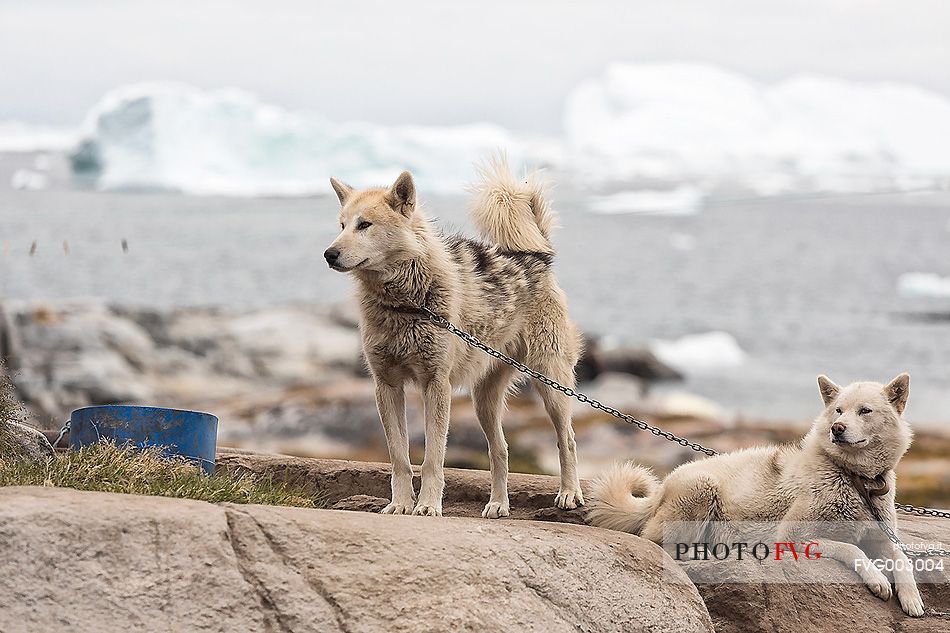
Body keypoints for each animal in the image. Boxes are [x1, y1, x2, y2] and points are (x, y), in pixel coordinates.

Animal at [324, 159, 584, 520]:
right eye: (342, 224)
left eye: (365, 225)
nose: (329, 254)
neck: (407, 302)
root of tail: (538, 256)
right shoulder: (386, 386)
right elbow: (400, 458)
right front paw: (400, 504)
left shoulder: (437, 384)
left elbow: (433, 459)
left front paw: (428, 506)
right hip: (484, 401)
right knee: (500, 450)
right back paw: (498, 504)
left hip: (551, 384)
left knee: (567, 439)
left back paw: (569, 493)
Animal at [592, 372, 924, 616]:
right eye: (838, 411)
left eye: (865, 411)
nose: (837, 428)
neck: (853, 478)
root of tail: (661, 488)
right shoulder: (791, 537)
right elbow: (851, 549)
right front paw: (878, 579)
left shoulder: (883, 536)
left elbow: (902, 558)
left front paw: (912, 598)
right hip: (701, 489)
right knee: (657, 542)